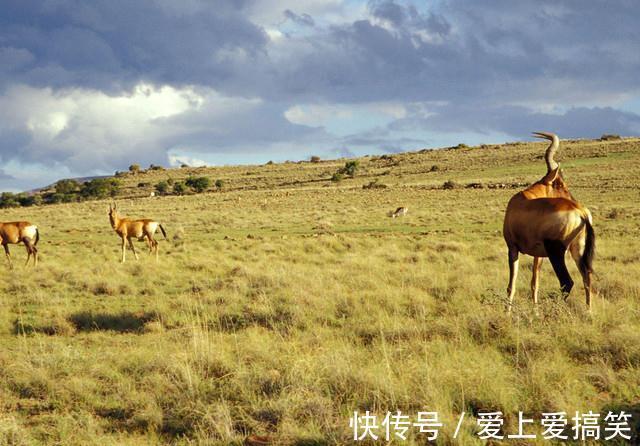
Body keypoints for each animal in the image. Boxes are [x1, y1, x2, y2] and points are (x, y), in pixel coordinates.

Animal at [504, 132, 596, 312]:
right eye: (560, 184)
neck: (523, 199)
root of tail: (581, 212)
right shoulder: (538, 254)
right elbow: (535, 283)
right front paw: (535, 311)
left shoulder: (512, 248)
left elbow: (512, 284)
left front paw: (507, 313)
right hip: (577, 250)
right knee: (587, 277)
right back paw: (589, 311)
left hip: (556, 252)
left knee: (567, 282)